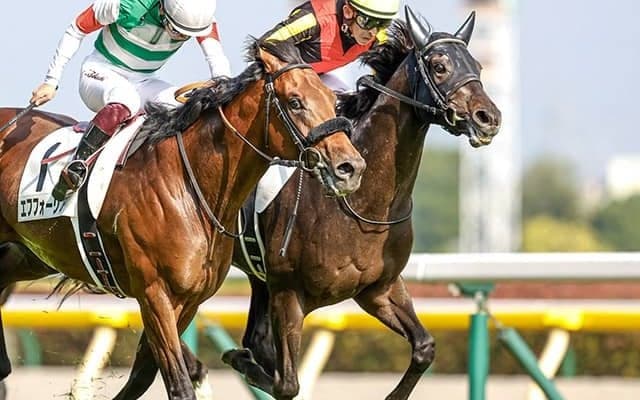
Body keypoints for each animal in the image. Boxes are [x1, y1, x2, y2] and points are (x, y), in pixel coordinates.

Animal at [0, 38, 365, 400]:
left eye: (332, 100)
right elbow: (177, 382)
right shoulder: (154, 293)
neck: (188, 184)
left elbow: (145, 373)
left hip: (29, 256)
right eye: (295, 102)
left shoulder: (189, 299)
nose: (350, 167)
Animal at [222, 9, 502, 400]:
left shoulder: (379, 289)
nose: (488, 118)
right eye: (439, 65)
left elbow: (424, 347)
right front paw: (239, 360)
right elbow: (286, 383)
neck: (364, 205)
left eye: (477, 64)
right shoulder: (289, 292)